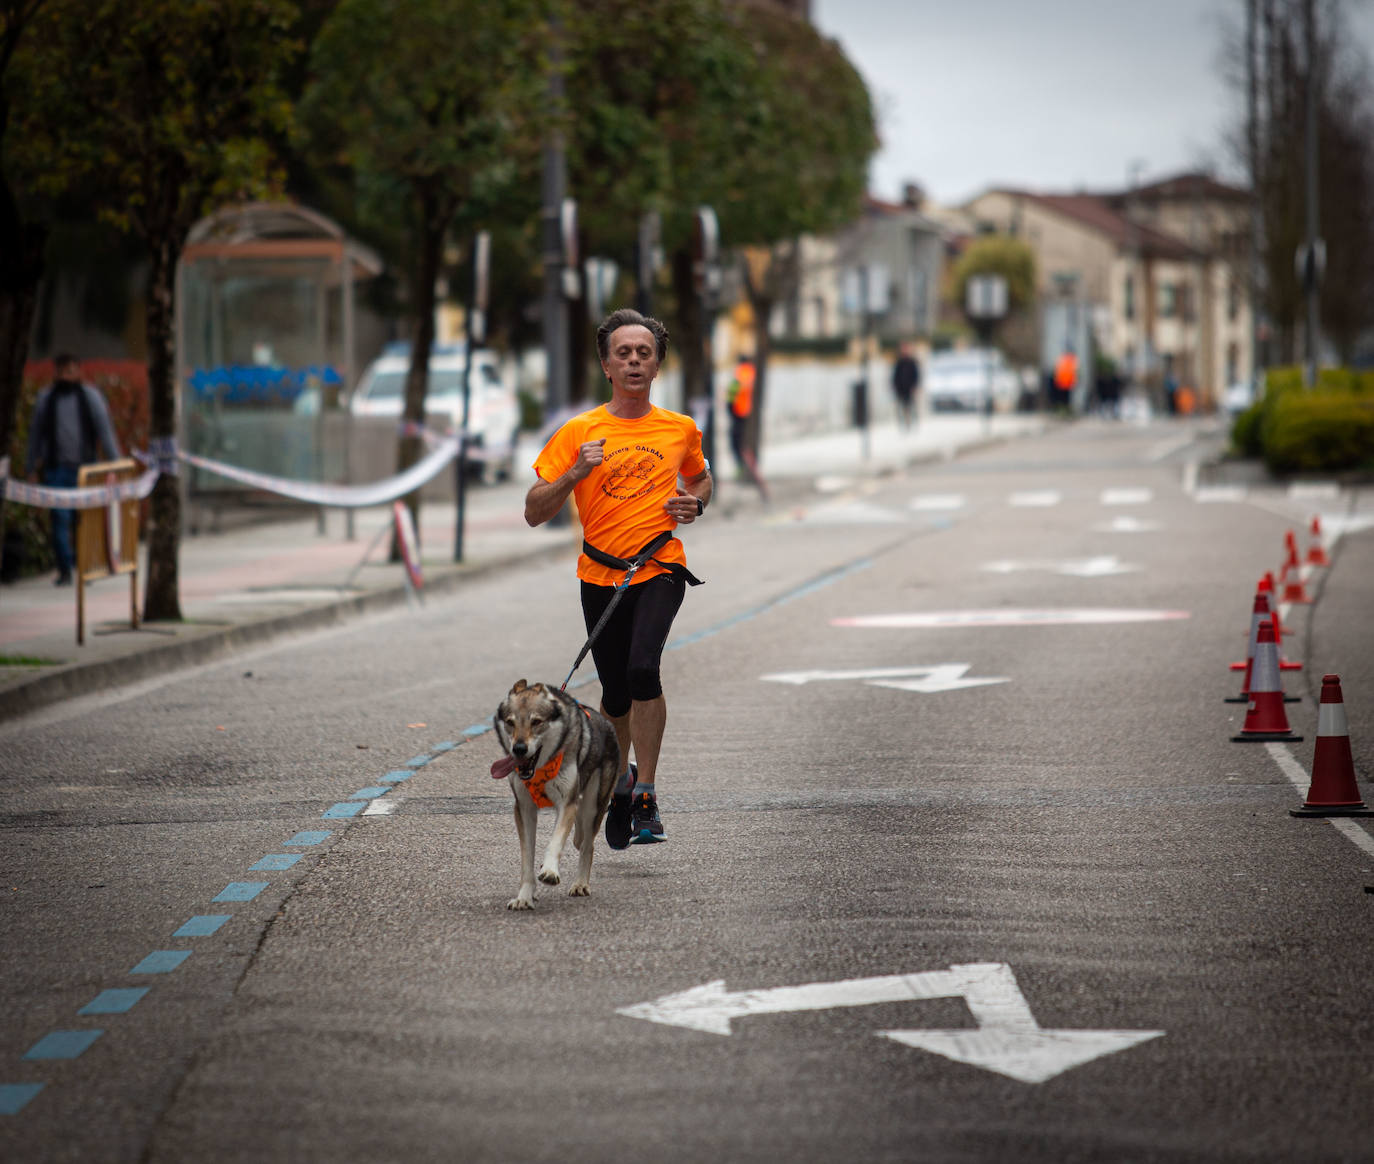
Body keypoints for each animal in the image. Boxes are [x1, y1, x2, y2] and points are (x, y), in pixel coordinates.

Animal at [491, 678, 621, 912]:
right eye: (510, 722)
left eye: (536, 722)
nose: (519, 749)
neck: (540, 769)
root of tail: (608, 725)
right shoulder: (524, 808)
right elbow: (527, 858)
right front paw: (524, 896)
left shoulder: (567, 804)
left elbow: (555, 842)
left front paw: (550, 871)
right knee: (579, 838)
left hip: (592, 805)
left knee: (587, 845)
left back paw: (580, 884)